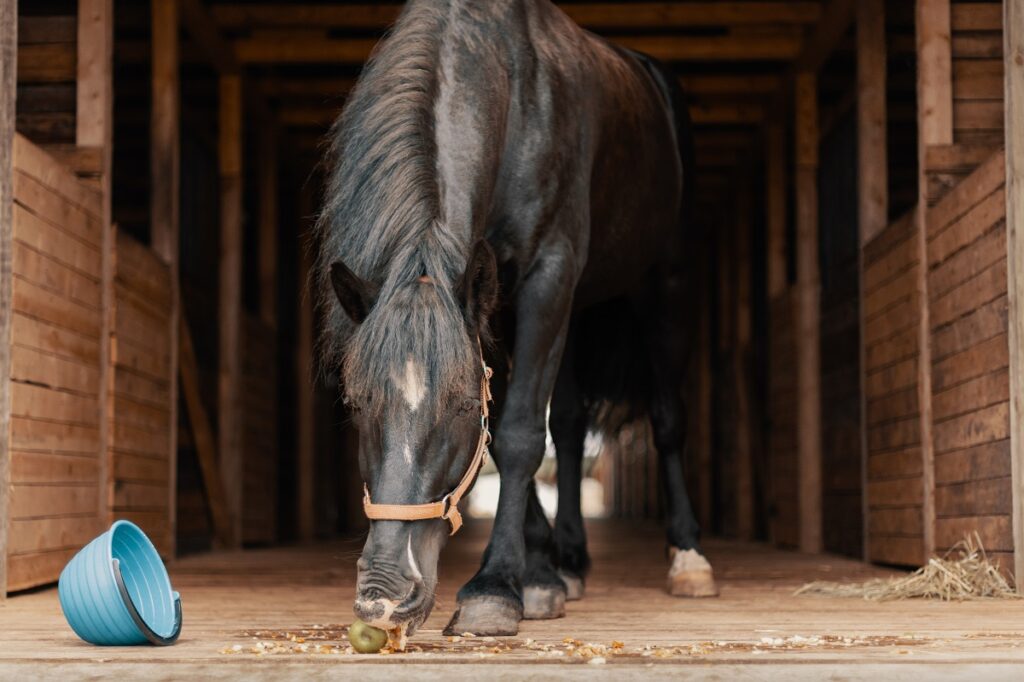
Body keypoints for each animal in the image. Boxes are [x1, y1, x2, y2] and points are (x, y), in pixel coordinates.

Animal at [315, 0, 716, 638]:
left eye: (459, 405)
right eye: (356, 403)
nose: (384, 596)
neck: (514, 101)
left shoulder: (547, 274)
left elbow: (522, 432)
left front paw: (496, 589)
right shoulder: (493, 304)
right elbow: (509, 435)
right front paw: (539, 571)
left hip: (664, 285)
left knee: (666, 417)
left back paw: (688, 557)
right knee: (572, 426)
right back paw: (569, 561)